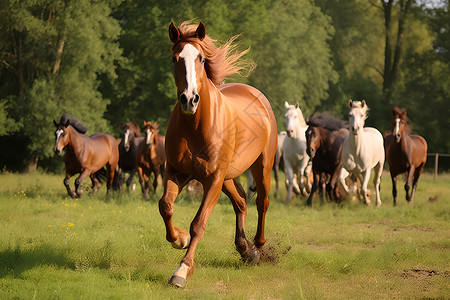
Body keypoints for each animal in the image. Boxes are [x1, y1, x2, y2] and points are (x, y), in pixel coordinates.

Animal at [160, 19, 276, 288]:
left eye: (201, 58)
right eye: (174, 58)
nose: (189, 100)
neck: (195, 125)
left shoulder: (212, 178)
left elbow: (198, 224)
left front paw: (182, 270)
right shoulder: (178, 172)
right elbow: (166, 206)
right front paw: (179, 238)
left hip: (261, 167)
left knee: (261, 202)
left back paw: (258, 246)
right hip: (228, 177)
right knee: (241, 201)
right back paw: (245, 249)